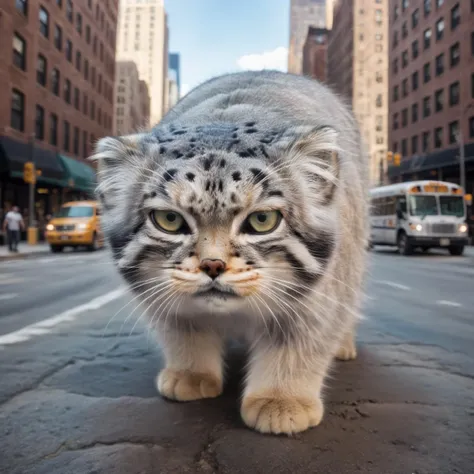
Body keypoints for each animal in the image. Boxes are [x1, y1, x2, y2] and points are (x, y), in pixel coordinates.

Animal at [91, 70, 366, 434]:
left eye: (262, 221)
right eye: (169, 220)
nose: (212, 266)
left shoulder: (321, 298)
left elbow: (298, 345)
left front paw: (281, 399)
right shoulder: (163, 299)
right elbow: (185, 333)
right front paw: (191, 373)